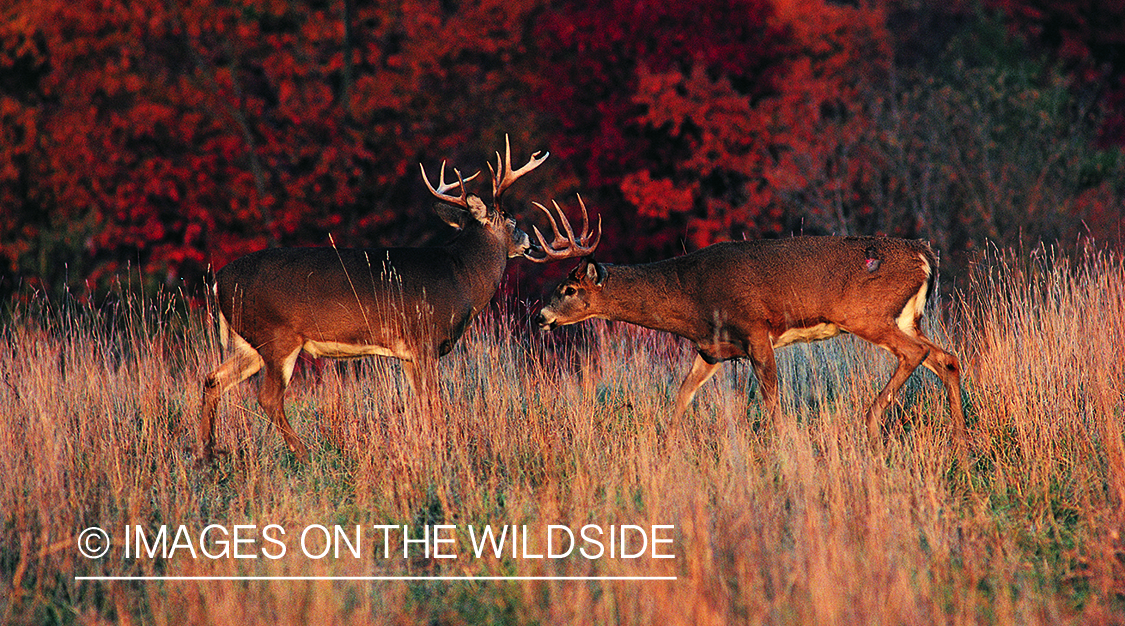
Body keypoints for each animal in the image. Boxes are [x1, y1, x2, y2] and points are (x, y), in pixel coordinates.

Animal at [200, 135, 598, 459]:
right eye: (512, 220)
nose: (530, 243)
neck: (463, 275)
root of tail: (219, 282)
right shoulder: (425, 338)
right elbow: (434, 402)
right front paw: (442, 447)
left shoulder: (407, 353)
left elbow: (419, 402)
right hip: (277, 336)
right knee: (268, 397)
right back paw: (303, 452)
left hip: (248, 342)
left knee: (212, 379)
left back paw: (207, 452)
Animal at [535, 236, 967, 450]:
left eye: (569, 289)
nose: (541, 317)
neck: (690, 300)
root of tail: (925, 255)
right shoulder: (711, 350)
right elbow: (681, 396)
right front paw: (666, 446)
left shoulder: (756, 330)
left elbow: (772, 399)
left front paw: (782, 447)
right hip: (907, 318)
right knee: (947, 357)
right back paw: (961, 441)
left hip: (866, 314)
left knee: (917, 353)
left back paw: (872, 420)